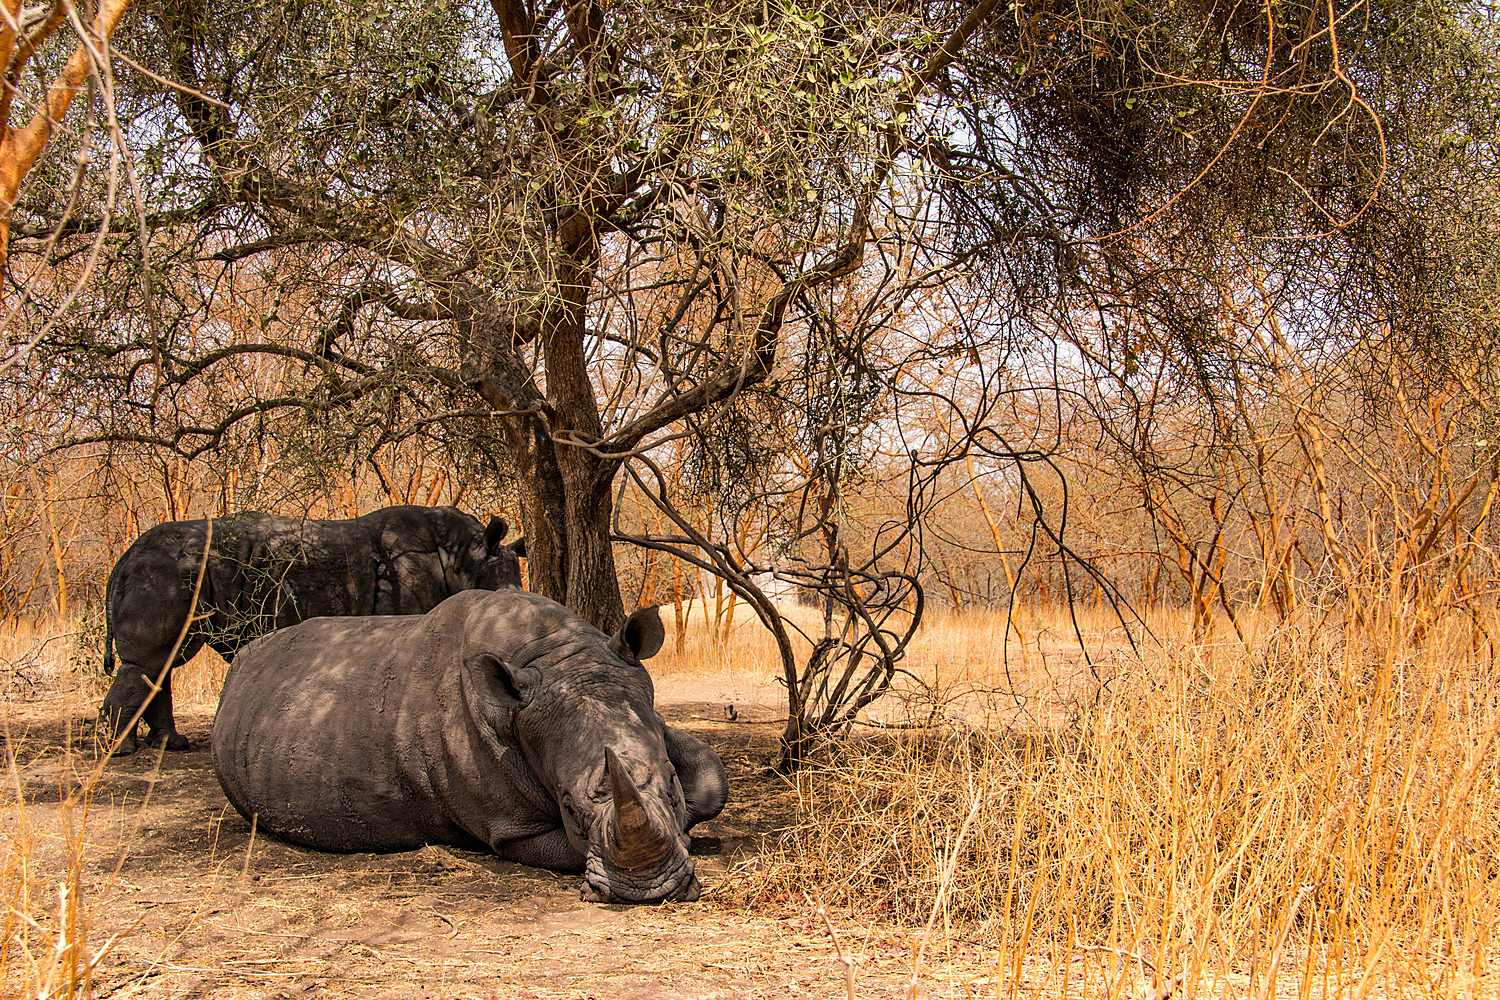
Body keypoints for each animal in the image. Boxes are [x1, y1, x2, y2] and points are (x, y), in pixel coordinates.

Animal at [101, 505, 525, 755]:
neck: (462, 555)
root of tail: (122, 561)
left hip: (174, 574)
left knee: (162, 665)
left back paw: (170, 745)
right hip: (165, 574)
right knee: (154, 661)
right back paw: (122, 751)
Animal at [211, 589, 728, 903]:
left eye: (671, 784)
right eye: (568, 808)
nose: (649, 892)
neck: (552, 654)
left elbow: (713, 776)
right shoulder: (511, 826)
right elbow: (563, 849)